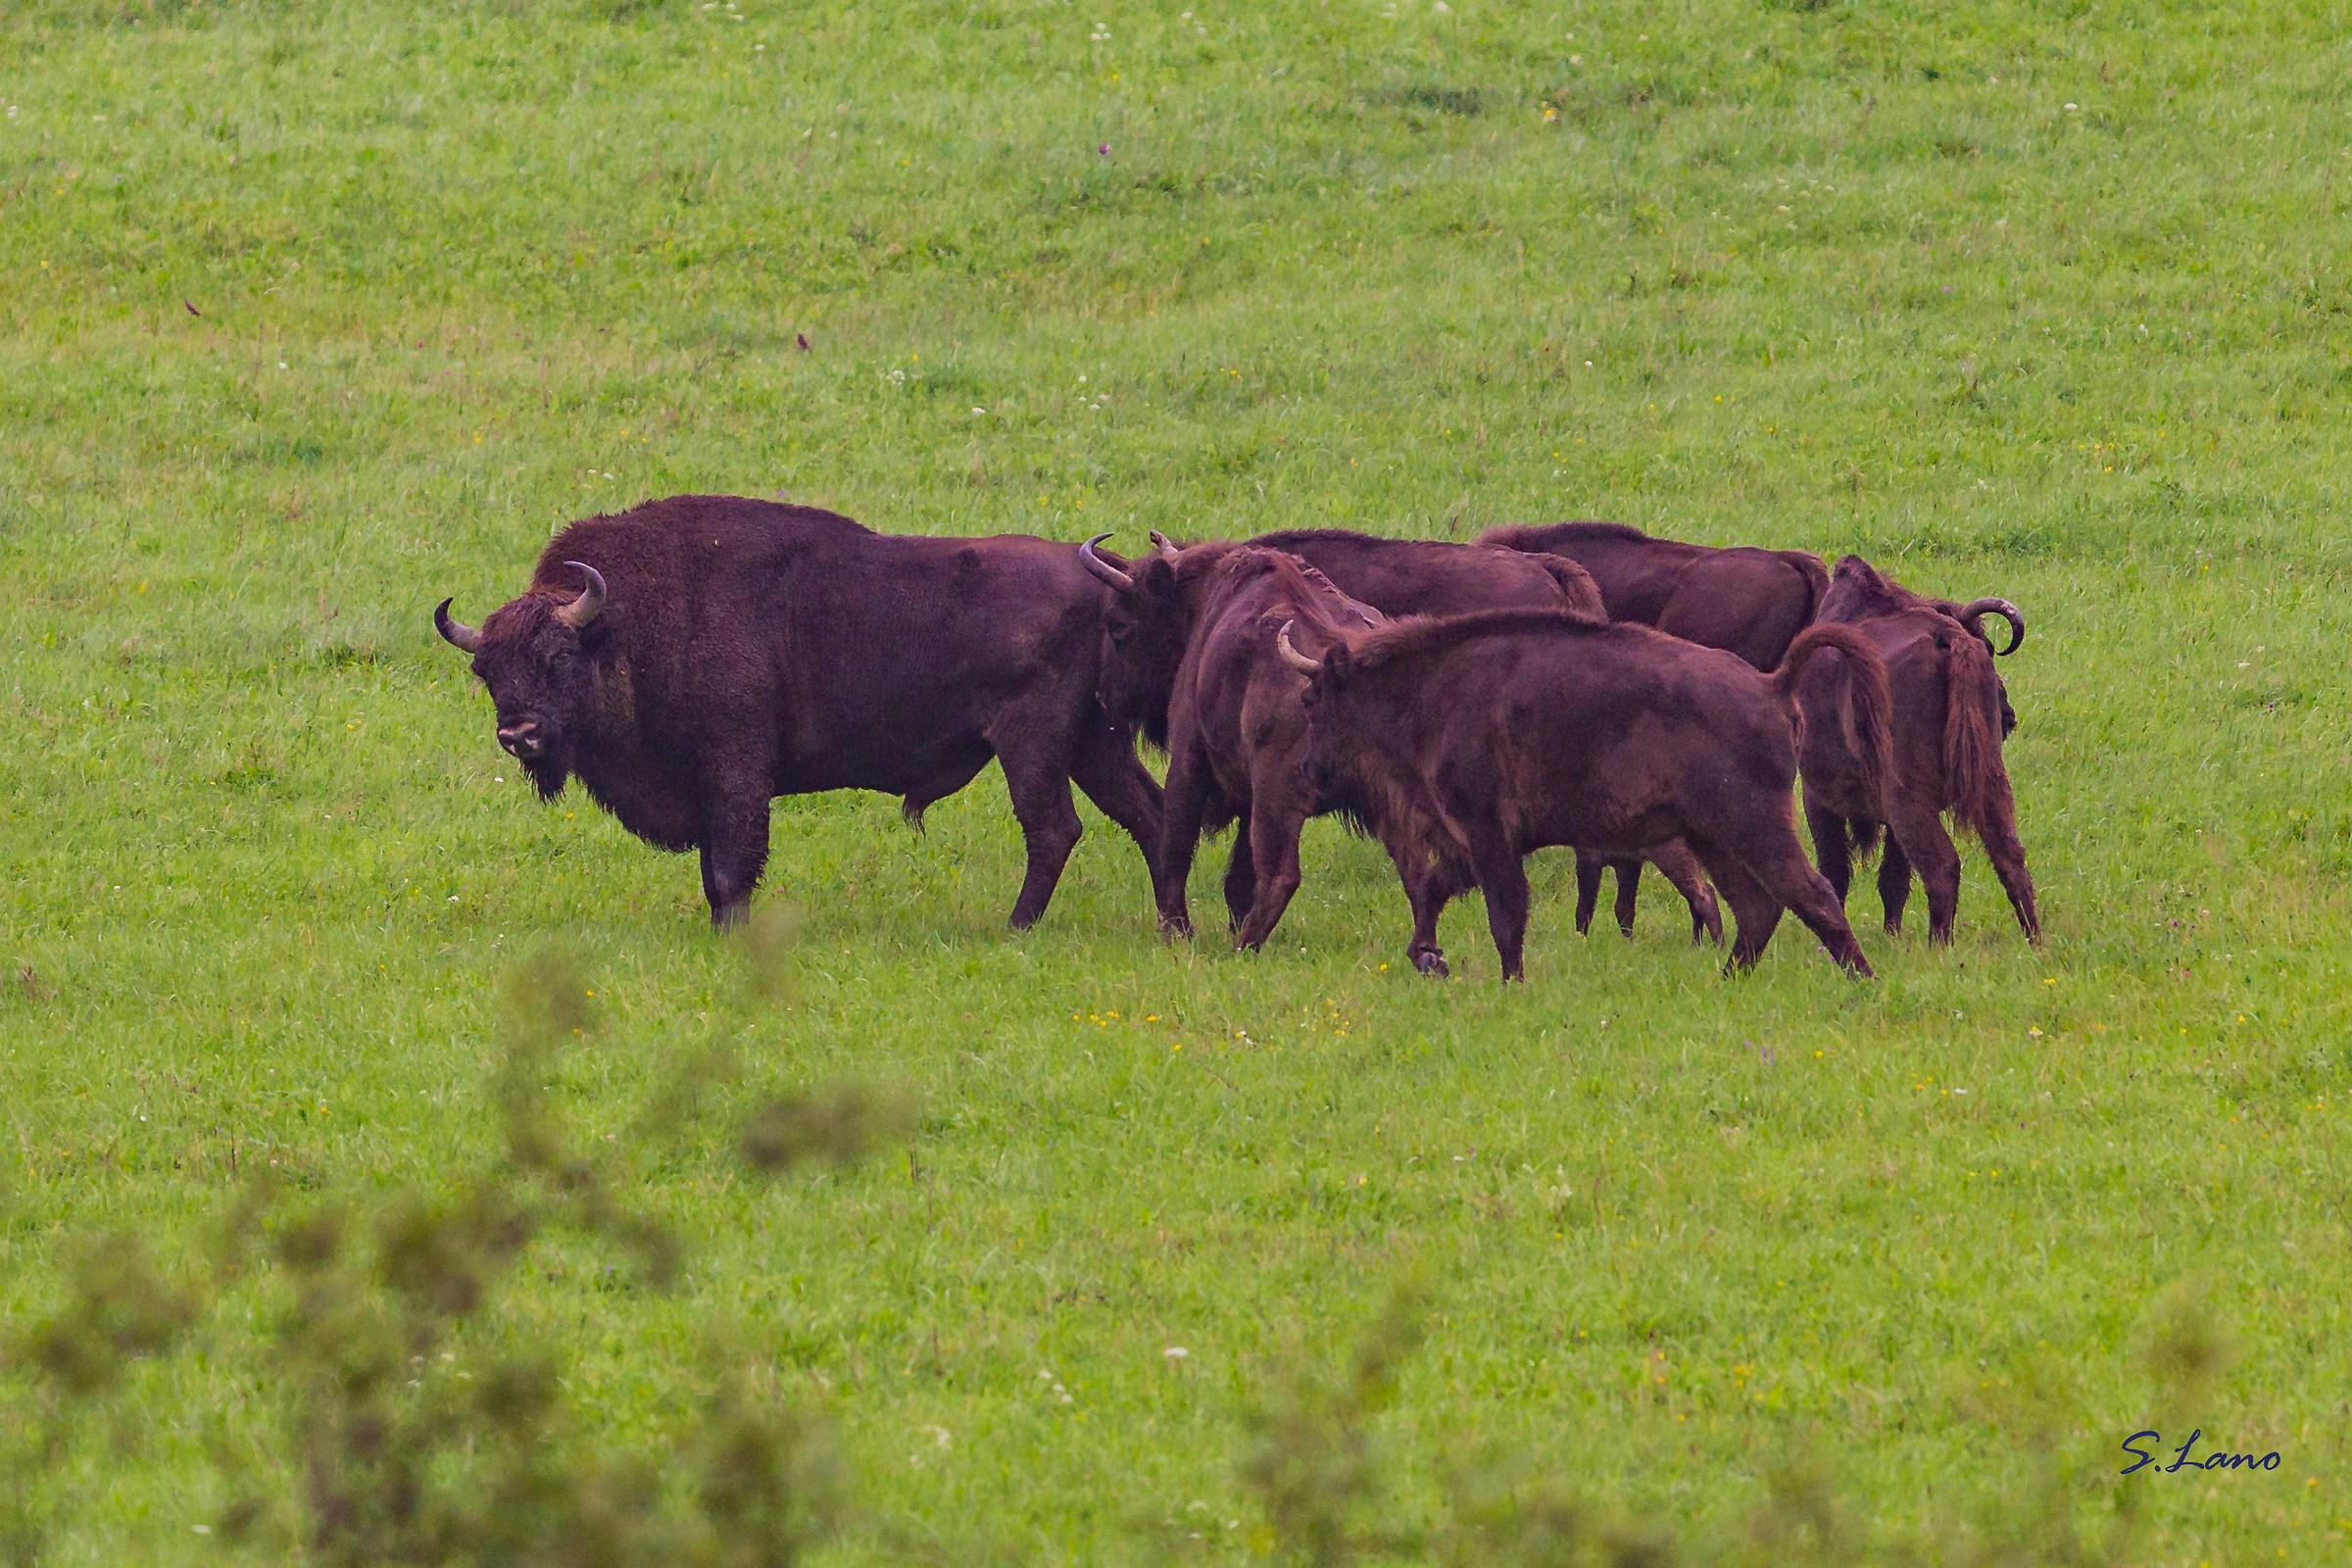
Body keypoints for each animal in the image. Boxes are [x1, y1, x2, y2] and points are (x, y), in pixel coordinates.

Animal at [433, 496, 1169, 928]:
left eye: (558, 656)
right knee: (1149, 813)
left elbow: (731, 868)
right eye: (486, 671)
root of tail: (1099, 577)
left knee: (1053, 829)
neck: (625, 625)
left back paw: (1014, 928)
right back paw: (1171, 925)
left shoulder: (735, 772)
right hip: (1094, 744)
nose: (519, 733)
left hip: (1032, 744)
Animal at [1277, 608, 1891, 980]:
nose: (1307, 772)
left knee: (1812, 895)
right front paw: (1426, 955)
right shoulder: (1471, 842)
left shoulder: (1487, 834)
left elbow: (1505, 913)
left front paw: (1509, 982)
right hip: (1711, 837)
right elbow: (1434, 888)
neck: (1430, 689)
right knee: (1757, 907)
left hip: (1753, 826)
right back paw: (1727, 980)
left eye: (1311, 701)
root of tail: (1772, 683)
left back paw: (1862, 980)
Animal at [1794, 556, 2038, 944]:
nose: (2008, 717)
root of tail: (1949, 639)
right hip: (1990, 785)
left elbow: (1836, 872)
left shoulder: (1819, 797)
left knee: (1942, 865)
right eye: (1988, 646)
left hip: (1910, 801)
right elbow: (1893, 880)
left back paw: (1940, 945)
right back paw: (2035, 942)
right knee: (2010, 857)